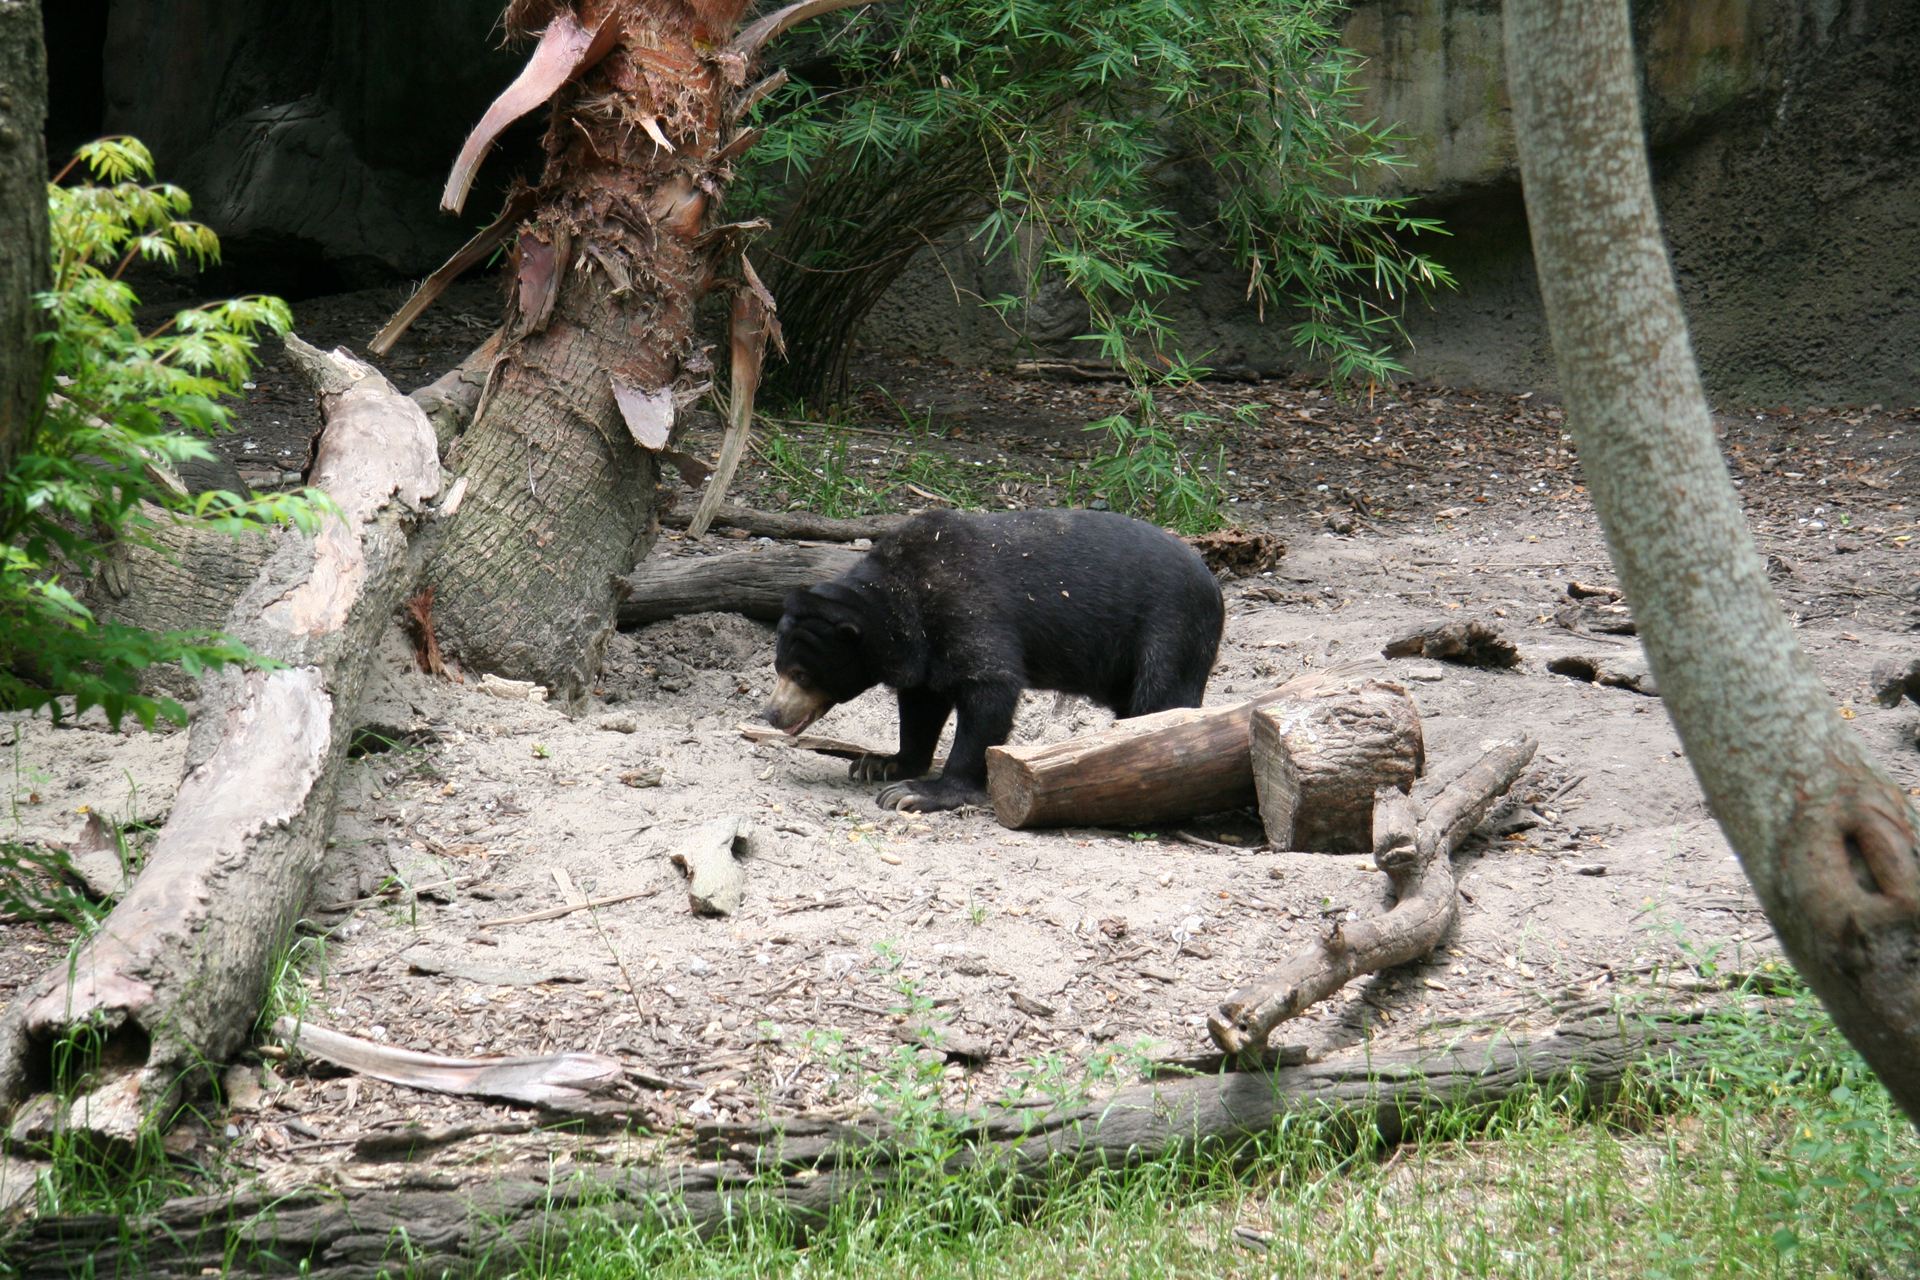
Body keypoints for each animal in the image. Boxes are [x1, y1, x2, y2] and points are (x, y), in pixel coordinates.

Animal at [762, 508, 1225, 812]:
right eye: (778, 668)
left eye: (802, 675)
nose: (772, 713)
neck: (904, 596)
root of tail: (1213, 583)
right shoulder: (925, 653)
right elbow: (922, 704)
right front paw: (881, 764)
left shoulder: (967, 607)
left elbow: (990, 690)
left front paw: (920, 792)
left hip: (1169, 630)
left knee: (1162, 700)